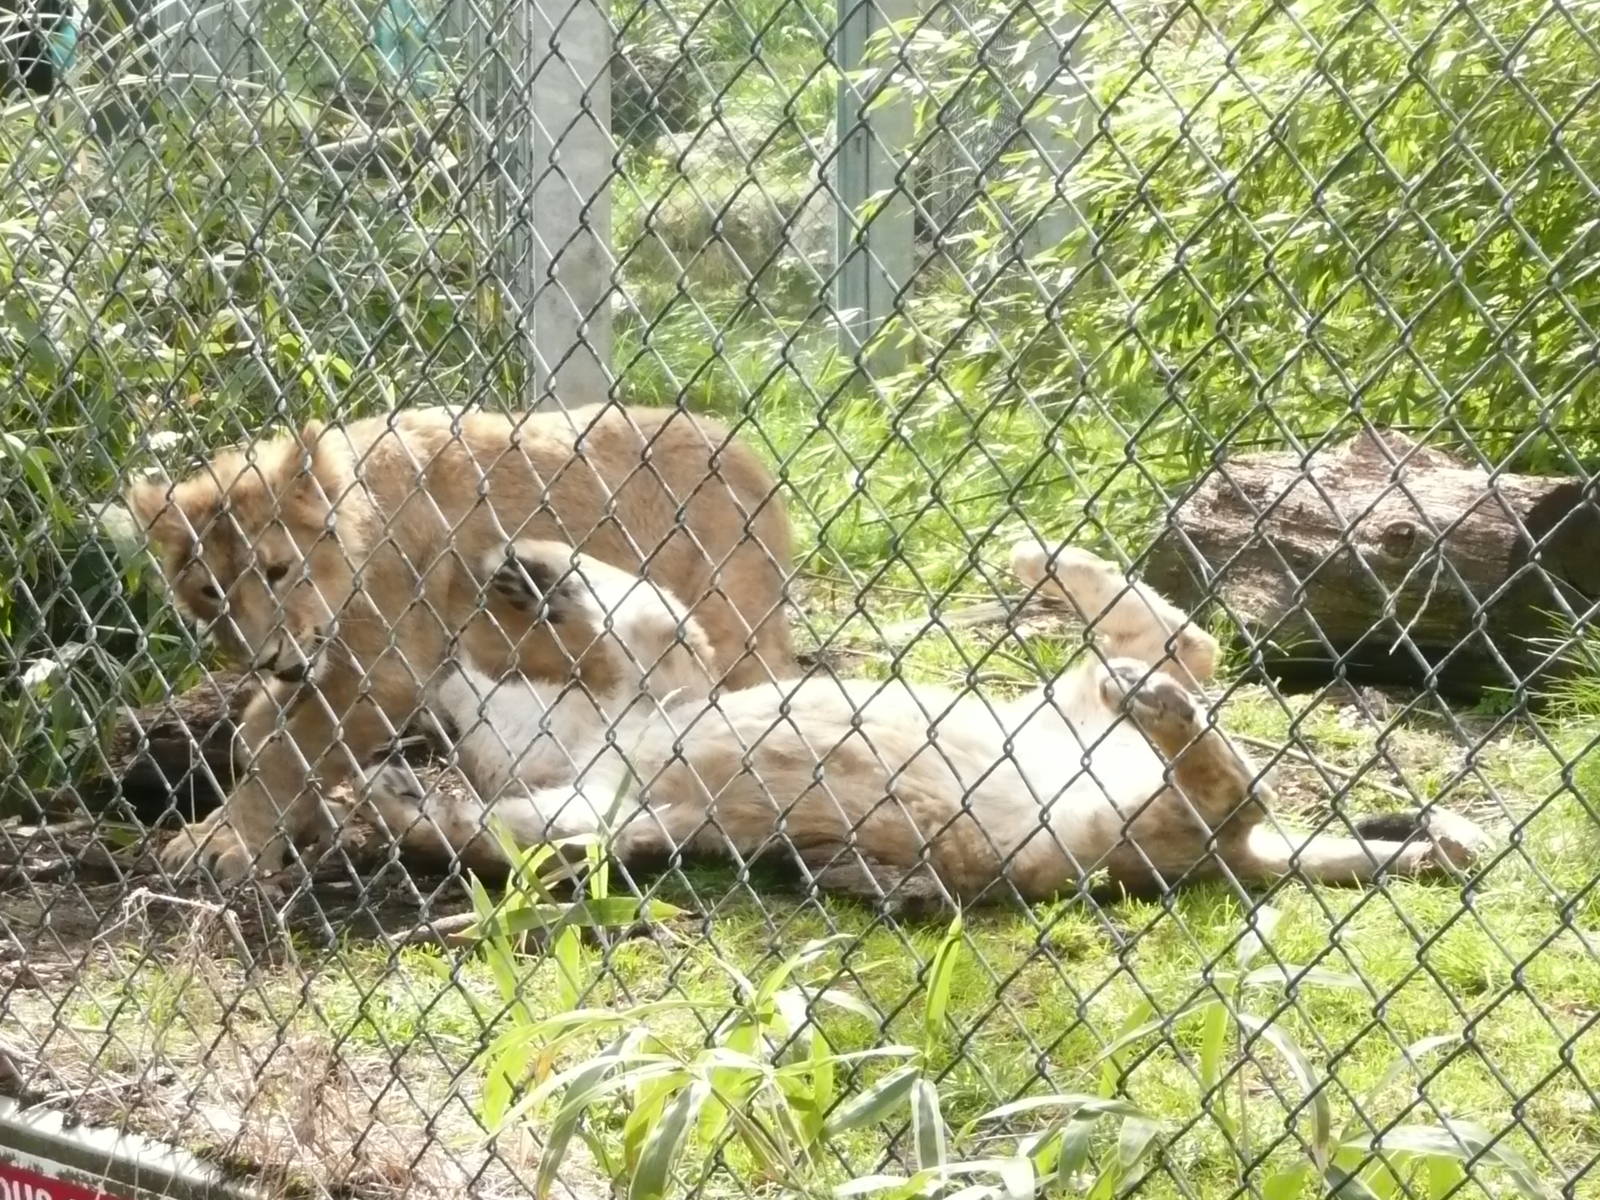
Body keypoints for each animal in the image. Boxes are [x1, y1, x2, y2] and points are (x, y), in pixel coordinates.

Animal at [125, 404, 796, 881]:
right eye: (212, 591)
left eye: (278, 570)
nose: (262, 656)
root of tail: (753, 463)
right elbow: (259, 733)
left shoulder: (389, 672)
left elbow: (288, 752)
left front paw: (225, 842)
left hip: (728, 630)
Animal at [357, 537, 1489, 908]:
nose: (426, 718)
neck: (599, 733)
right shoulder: (615, 809)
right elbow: (507, 836)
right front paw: (398, 803)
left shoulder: (669, 678)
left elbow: (637, 604)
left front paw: (531, 571)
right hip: (1099, 823)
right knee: (1205, 727)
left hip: (1096, 778)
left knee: (1202, 689)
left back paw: (1045, 564)